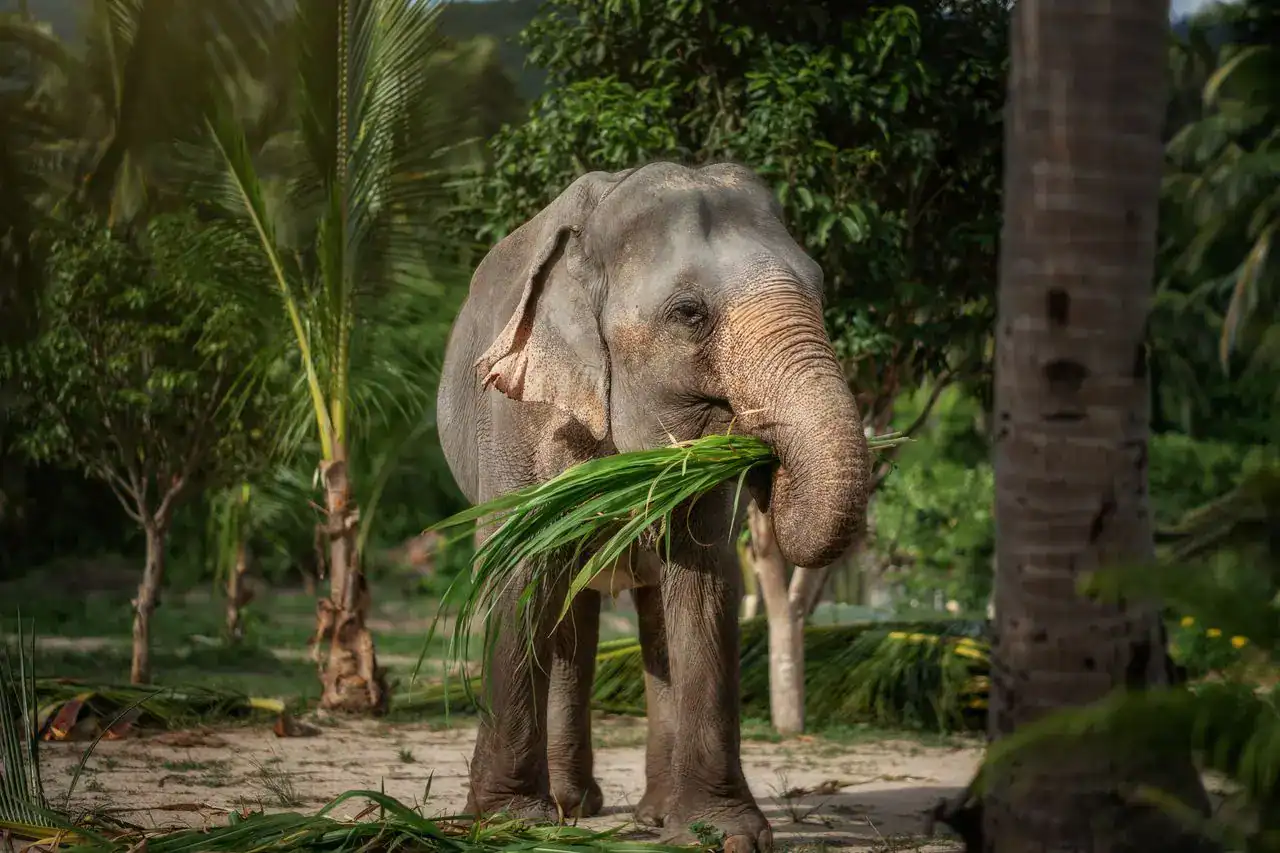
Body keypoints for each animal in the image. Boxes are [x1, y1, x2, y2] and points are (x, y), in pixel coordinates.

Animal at [436, 161, 871, 852]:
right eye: (689, 313)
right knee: (570, 615)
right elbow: (520, 571)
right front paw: (507, 823)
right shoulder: (517, 411)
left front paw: (722, 834)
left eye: (821, 289)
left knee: (645, 615)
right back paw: (572, 807)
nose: (766, 466)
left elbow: (702, 580)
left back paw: (650, 816)